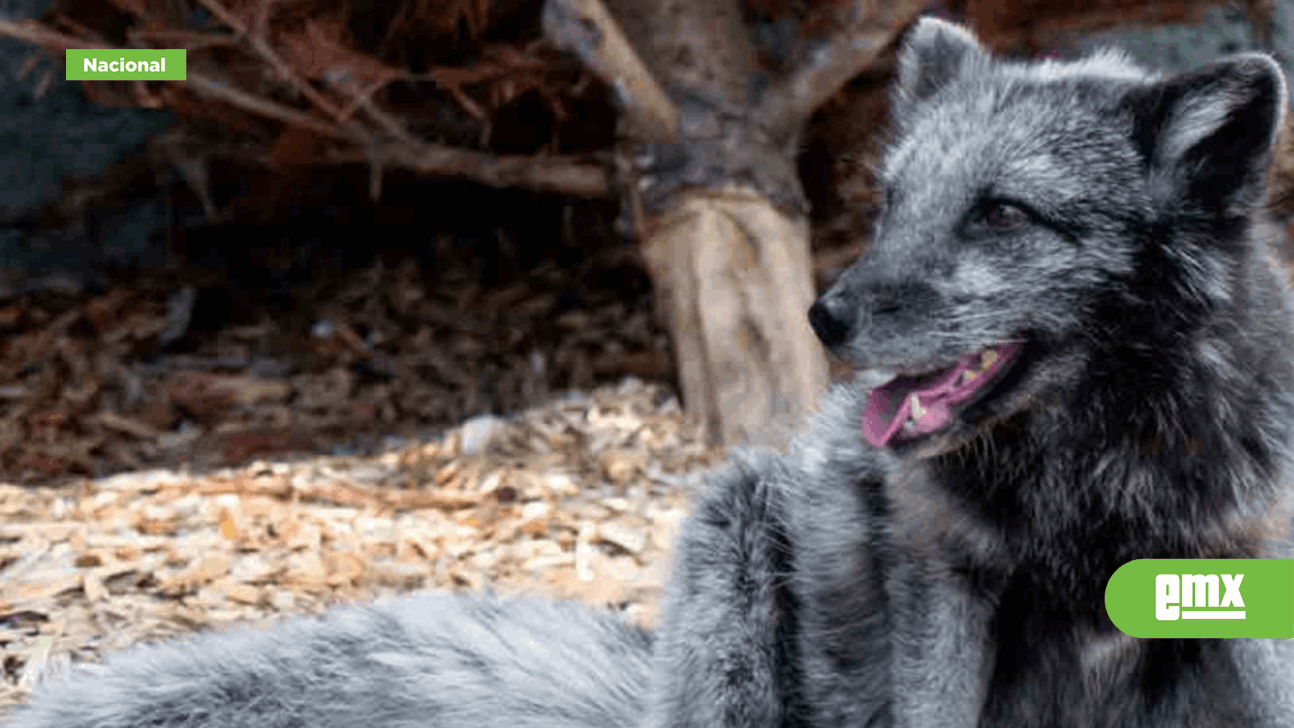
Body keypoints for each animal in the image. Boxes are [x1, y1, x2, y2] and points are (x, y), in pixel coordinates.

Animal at [7, 15, 1294, 728]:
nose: (823, 316)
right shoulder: (946, 590)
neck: (1093, 479)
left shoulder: (1241, 580)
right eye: (891, 204)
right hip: (734, 531)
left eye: (1003, 213)